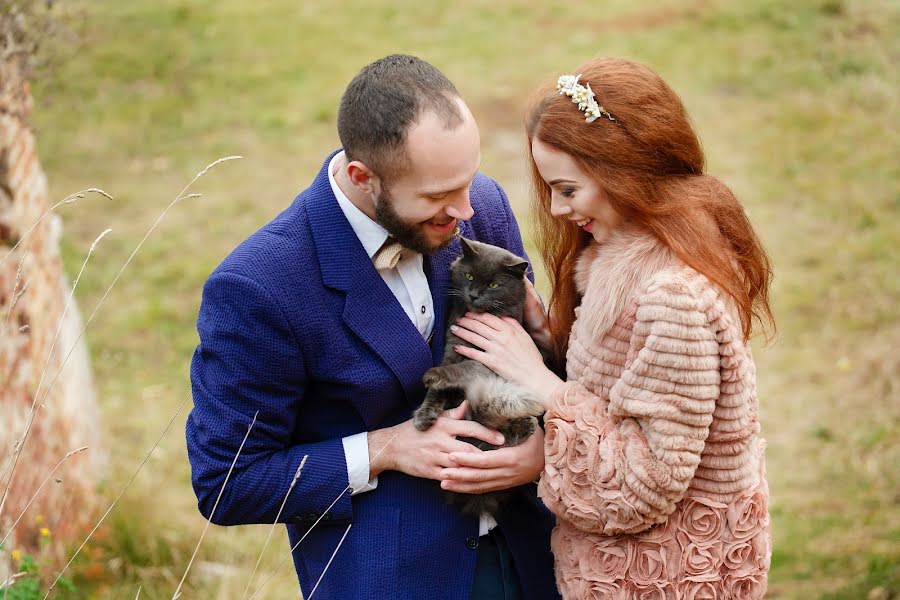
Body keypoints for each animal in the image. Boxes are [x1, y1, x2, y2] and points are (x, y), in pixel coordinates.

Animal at [414, 237, 544, 512]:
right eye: (469, 276)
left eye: (494, 284)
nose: (473, 295)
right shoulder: (452, 346)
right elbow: (437, 391)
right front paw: (424, 415)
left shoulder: (488, 360)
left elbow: (463, 369)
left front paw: (432, 375)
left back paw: (524, 425)